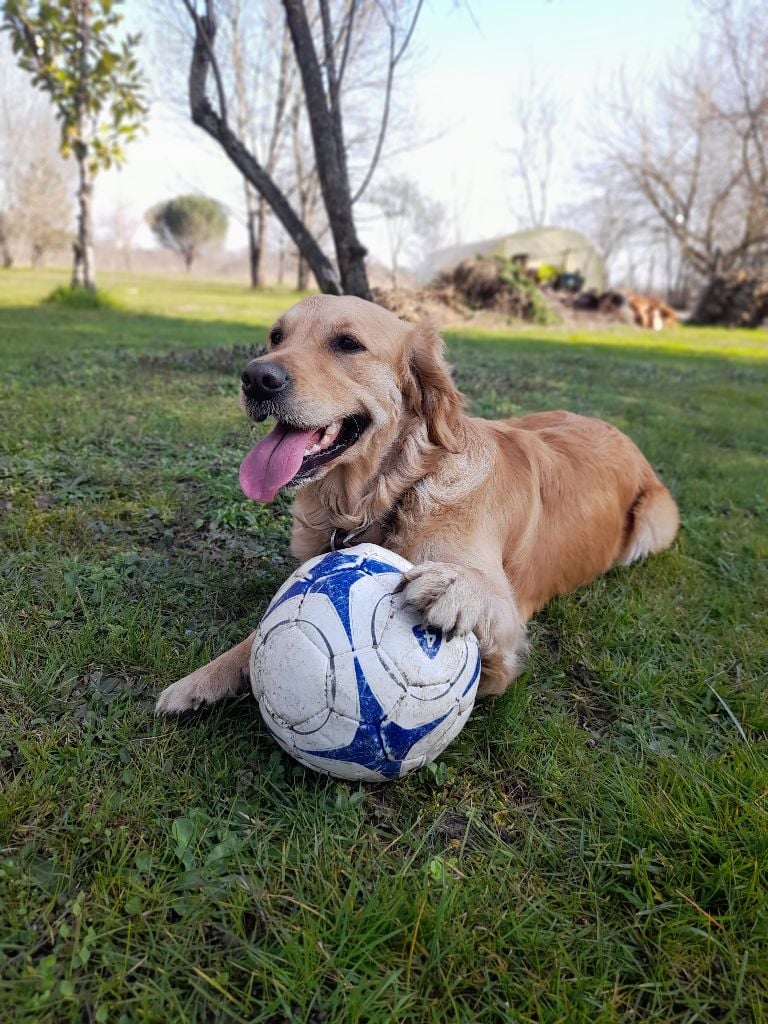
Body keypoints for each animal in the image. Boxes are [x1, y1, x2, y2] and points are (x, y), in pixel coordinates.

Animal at [154, 294, 679, 712]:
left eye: (347, 344)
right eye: (275, 336)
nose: (255, 378)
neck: (394, 490)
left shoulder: (507, 632)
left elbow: (485, 608)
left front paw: (456, 587)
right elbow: (261, 634)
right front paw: (200, 681)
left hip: (654, 524)